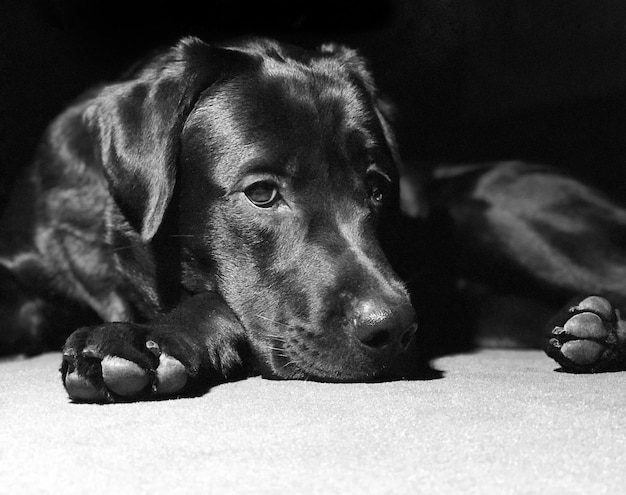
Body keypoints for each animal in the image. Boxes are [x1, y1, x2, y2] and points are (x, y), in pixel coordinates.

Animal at [0, 35, 620, 404]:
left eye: (377, 188)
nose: (395, 329)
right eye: (262, 193)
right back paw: (590, 330)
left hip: (494, 206)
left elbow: (217, 302)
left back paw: (600, 328)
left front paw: (147, 341)